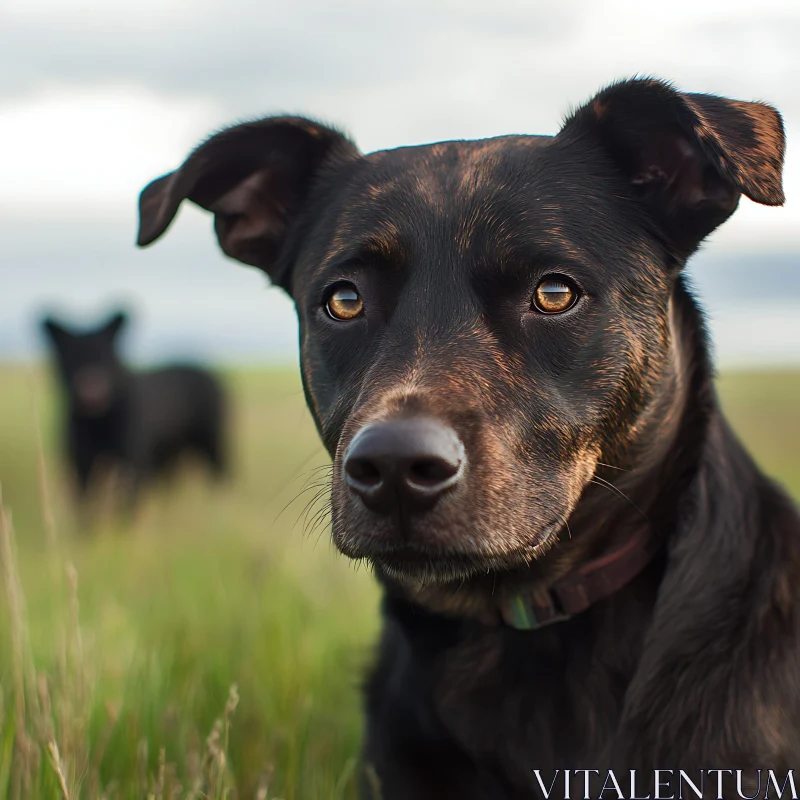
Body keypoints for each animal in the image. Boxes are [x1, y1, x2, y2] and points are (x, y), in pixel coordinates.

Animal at [42, 310, 227, 510]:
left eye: (106, 353)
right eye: (71, 355)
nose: (92, 391)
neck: (98, 424)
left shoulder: (133, 468)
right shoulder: (81, 470)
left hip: (212, 443)